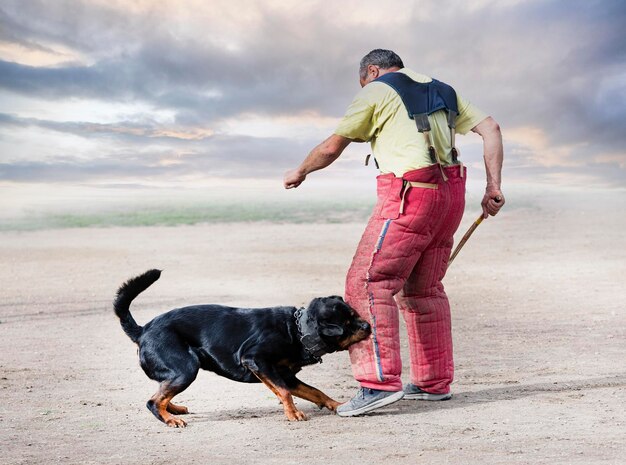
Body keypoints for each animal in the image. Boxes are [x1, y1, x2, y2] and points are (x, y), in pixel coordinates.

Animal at [112, 266, 370, 426]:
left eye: (355, 314)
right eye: (348, 323)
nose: (368, 325)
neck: (296, 331)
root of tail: (143, 329)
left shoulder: (287, 376)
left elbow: (315, 391)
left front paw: (337, 405)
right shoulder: (256, 360)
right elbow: (284, 392)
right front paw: (293, 413)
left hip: (178, 373)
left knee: (161, 393)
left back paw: (173, 409)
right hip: (185, 369)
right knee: (153, 401)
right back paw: (170, 419)